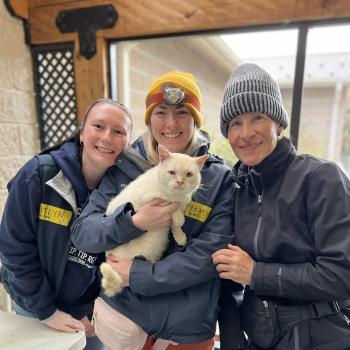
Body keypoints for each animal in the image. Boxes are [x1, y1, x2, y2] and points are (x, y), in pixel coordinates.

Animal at [99, 144, 208, 296]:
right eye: (172, 172)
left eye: (189, 174)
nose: (180, 182)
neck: (178, 196)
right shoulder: (148, 197)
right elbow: (169, 203)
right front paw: (178, 217)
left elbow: (175, 223)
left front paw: (179, 236)